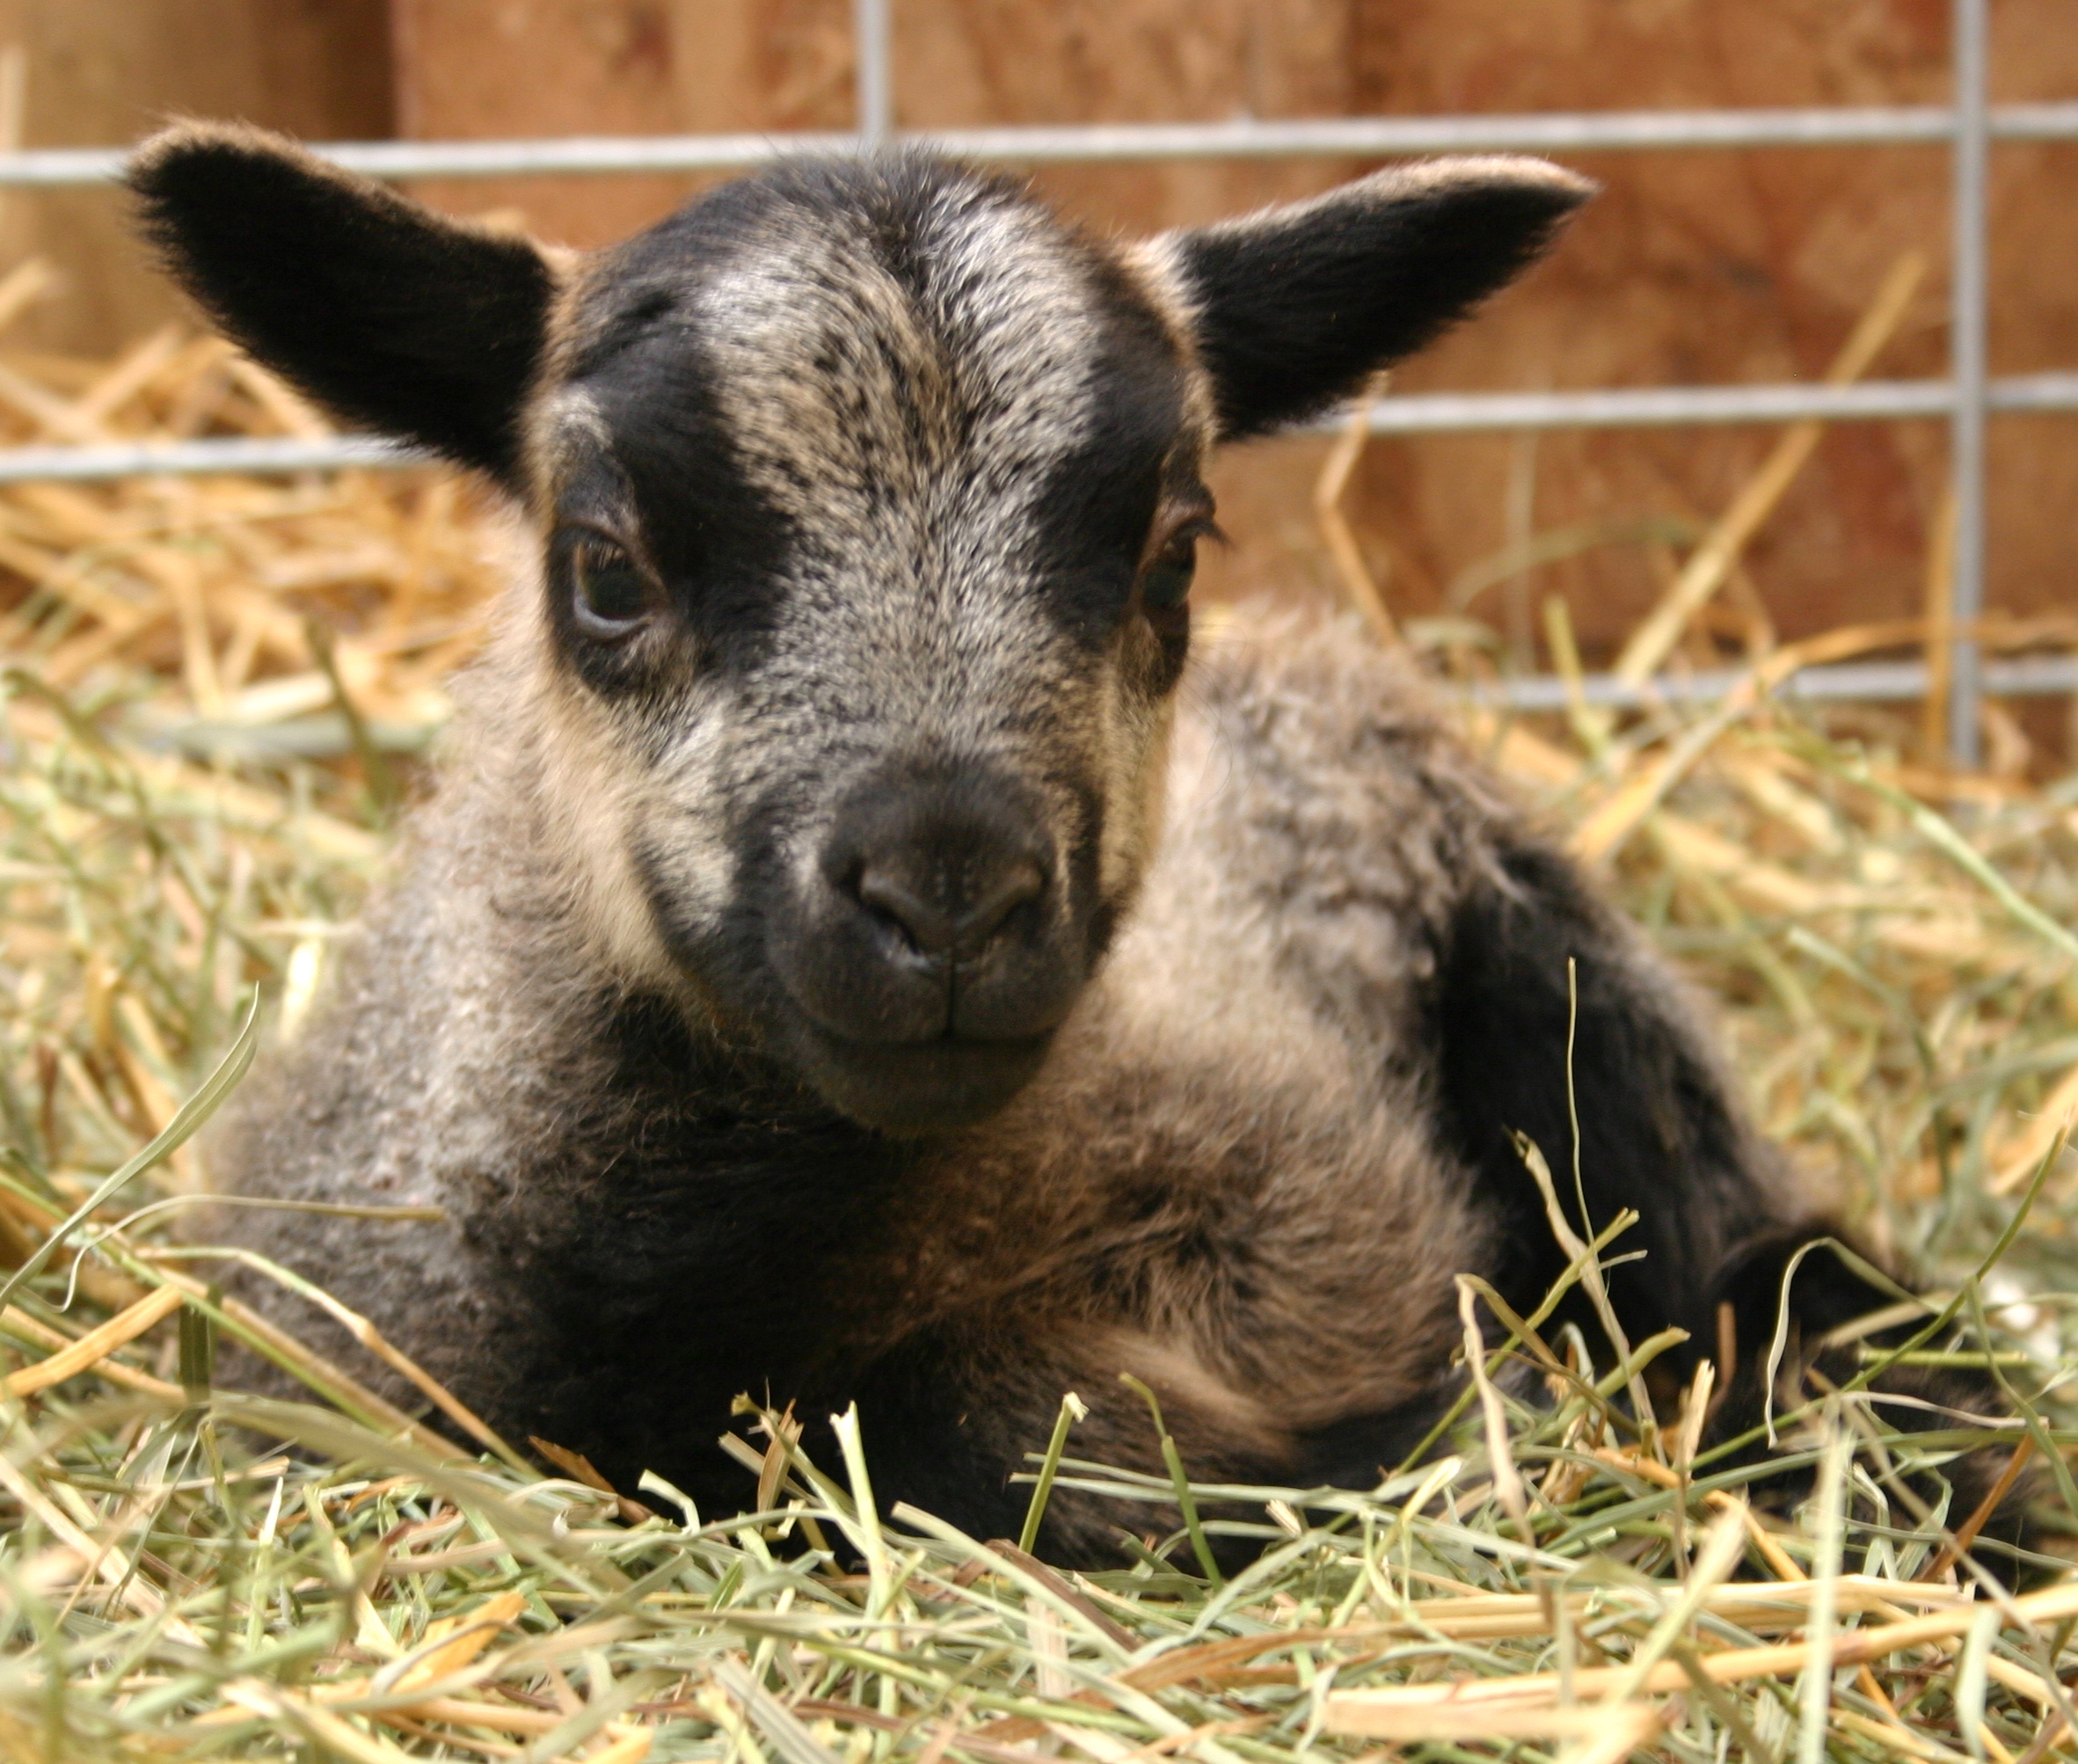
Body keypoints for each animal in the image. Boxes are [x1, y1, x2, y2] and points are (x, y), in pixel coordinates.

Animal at [131, 124, 2024, 1565]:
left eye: (1169, 553)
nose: (949, 893)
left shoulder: (1302, 1221)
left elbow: (992, 1413)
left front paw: (1439, 1425)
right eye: (604, 566)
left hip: (1551, 962)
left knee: (1739, 1236)